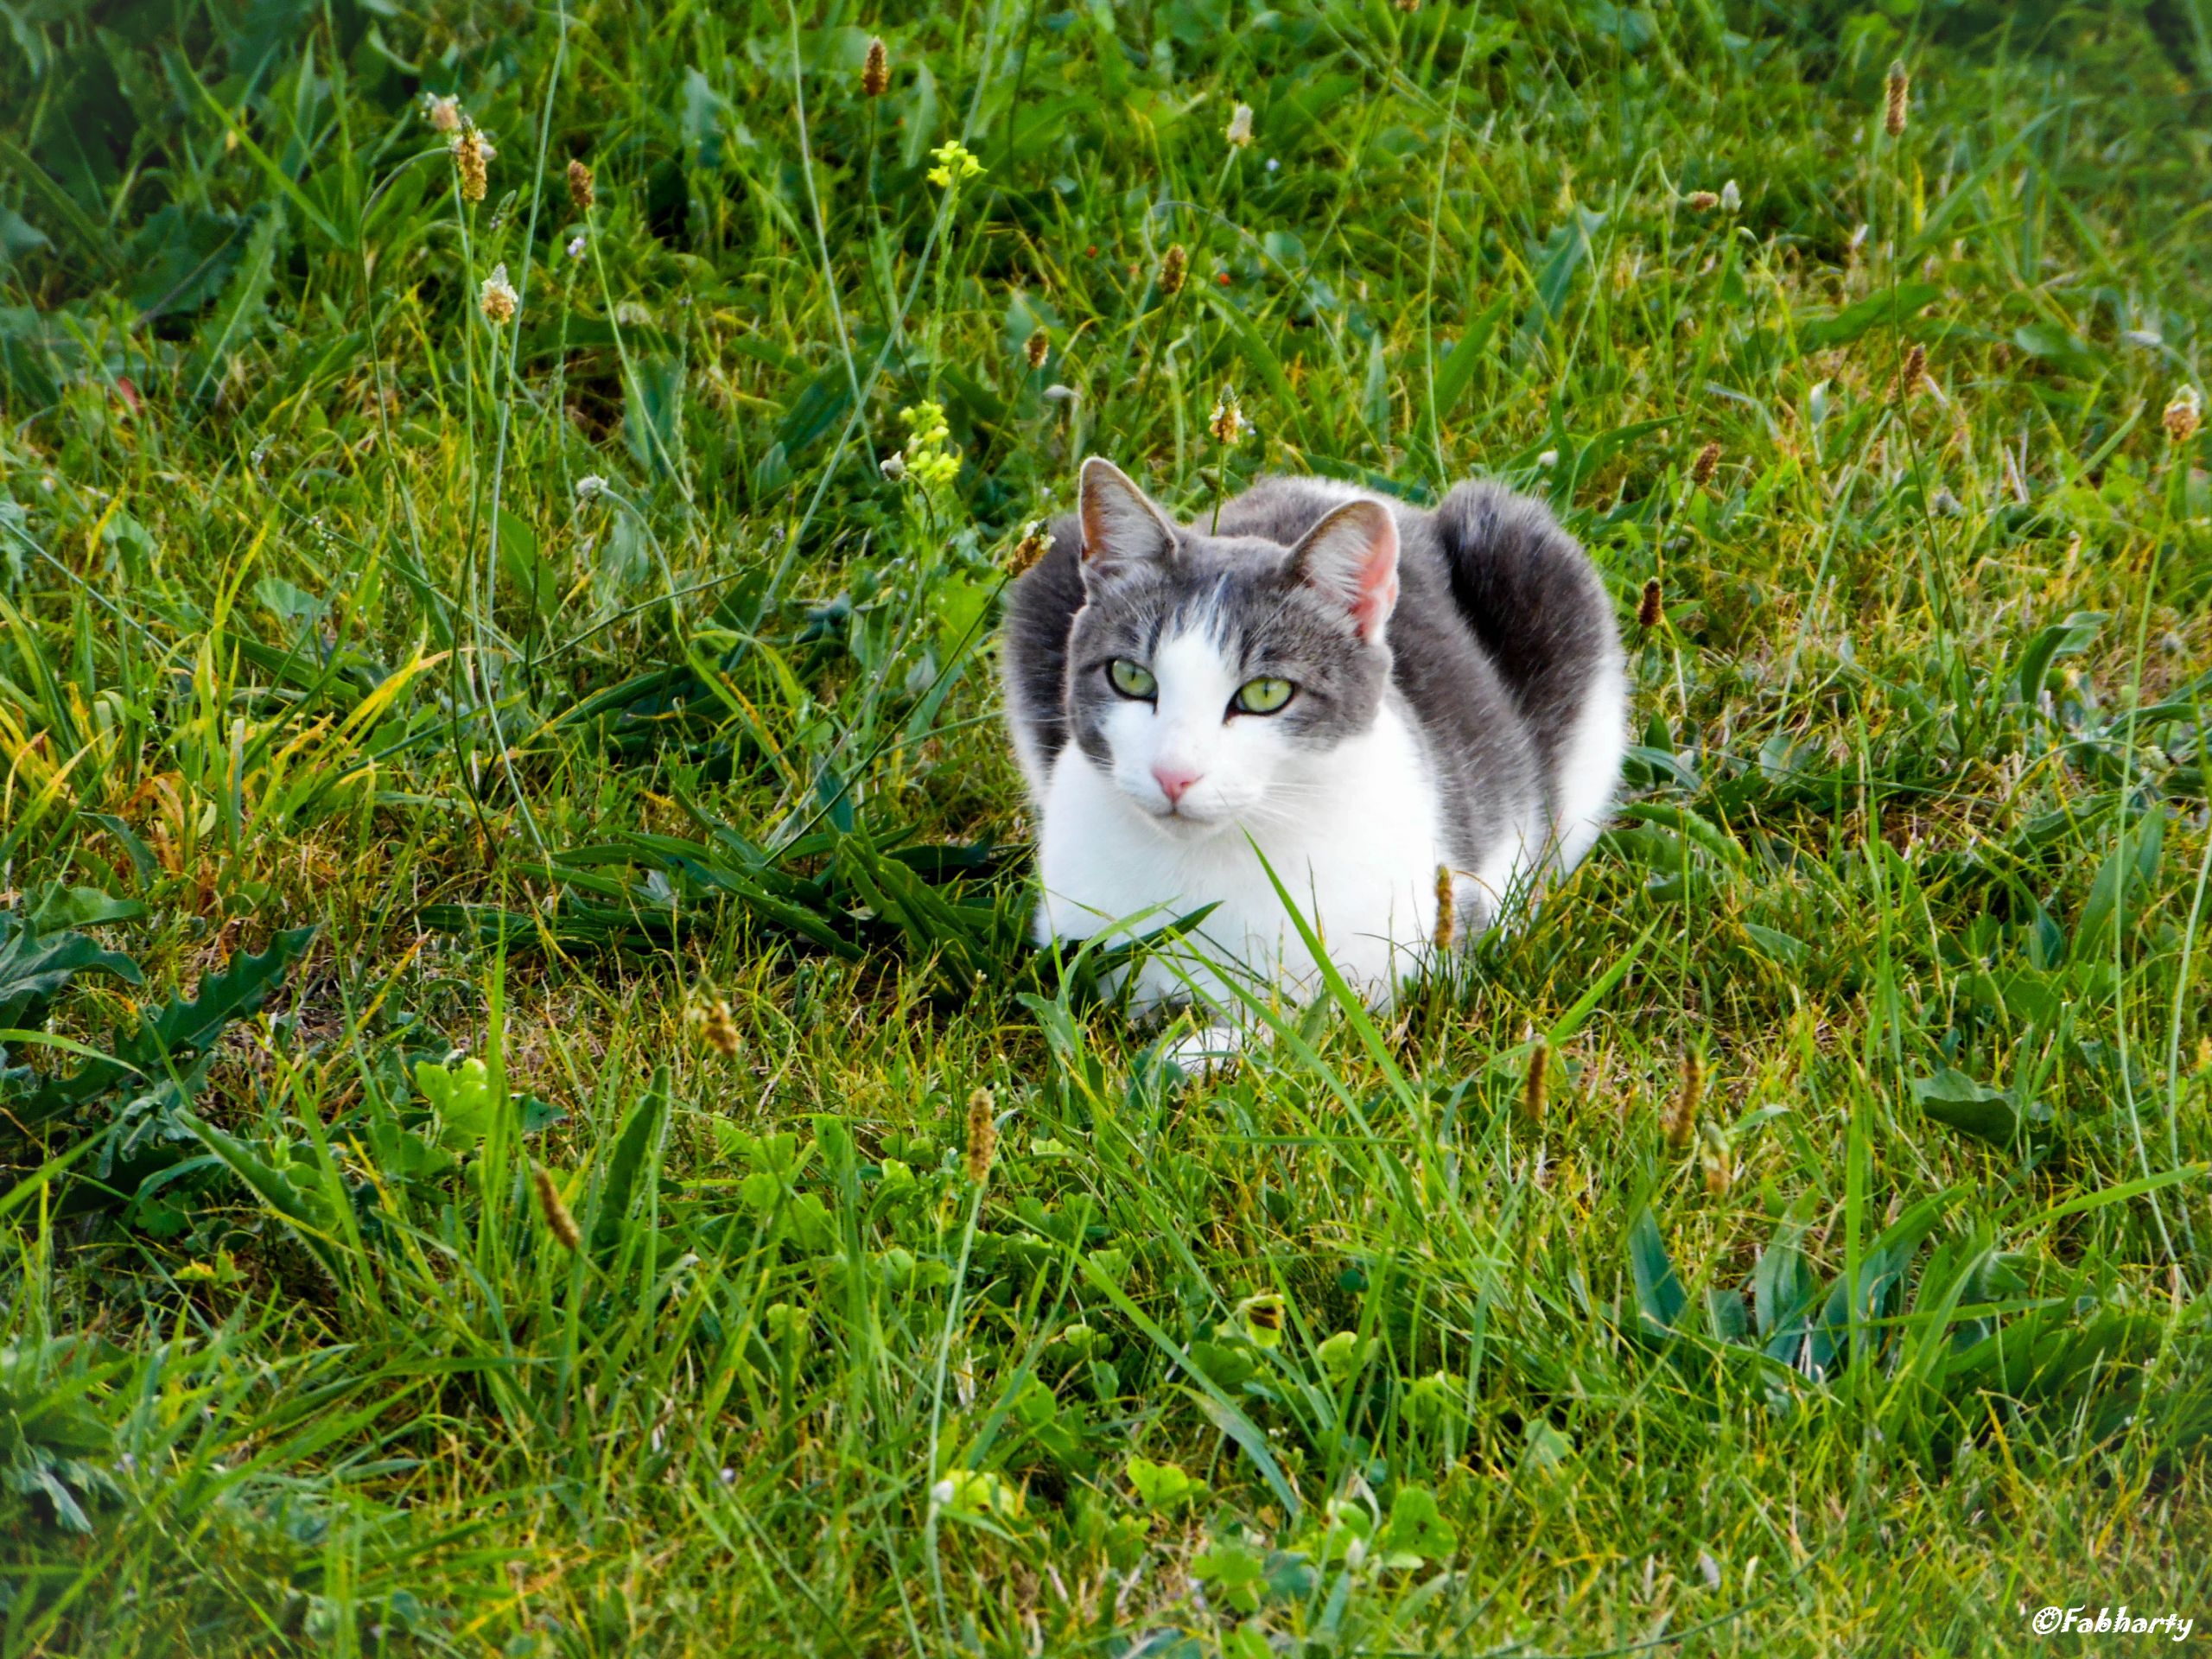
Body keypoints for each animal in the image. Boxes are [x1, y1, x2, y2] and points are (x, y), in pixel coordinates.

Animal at [1004, 455, 1628, 1044]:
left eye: (1265, 694)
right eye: (1130, 677)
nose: (1173, 774)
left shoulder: (1417, 965)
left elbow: (1308, 1030)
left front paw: (1201, 1049)